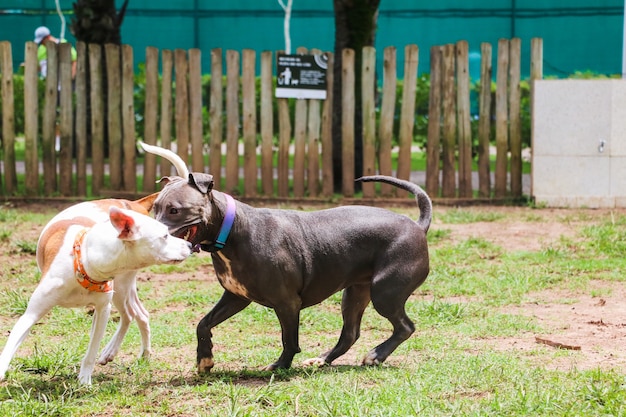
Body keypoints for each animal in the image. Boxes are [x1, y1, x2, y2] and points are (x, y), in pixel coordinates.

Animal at [0, 196, 191, 384]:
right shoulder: (31, 314)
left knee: (130, 314)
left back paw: (118, 352)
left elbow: (92, 350)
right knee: (137, 314)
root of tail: (133, 203)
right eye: (165, 236)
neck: (85, 260)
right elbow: (12, 341)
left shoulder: (103, 309)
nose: (189, 244)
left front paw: (84, 381)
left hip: (121, 286)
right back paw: (134, 353)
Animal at [138, 142, 428, 370]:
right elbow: (203, 324)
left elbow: (289, 339)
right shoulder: (235, 297)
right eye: (155, 207)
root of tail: (418, 224)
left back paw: (376, 355)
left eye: (175, 210)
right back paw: (323, 359)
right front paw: (204, 359)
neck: (233, 231)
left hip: (385, 293)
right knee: (350, 334)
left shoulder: (287, 303)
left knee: (405, 327)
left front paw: (280, 366)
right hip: (355, 293)